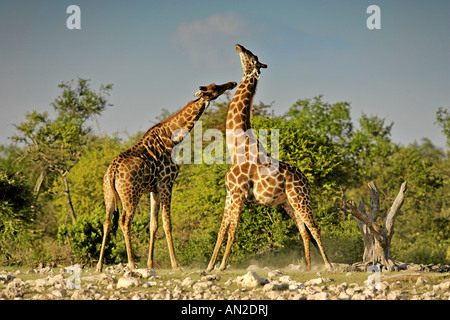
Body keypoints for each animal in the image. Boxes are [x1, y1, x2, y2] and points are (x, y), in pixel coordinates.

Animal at [96, 81, 237, 272]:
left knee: (107, 222)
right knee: (125, 222)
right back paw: (131, 263)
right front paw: (176, 265)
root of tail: (112, 172)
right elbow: (167, 223)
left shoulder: (154, 189)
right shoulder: (167, 183)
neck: (173, 137)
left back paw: (99, 266)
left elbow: (153, 224)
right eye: (215, 88)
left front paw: (150, 264)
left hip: (109, 195)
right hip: (130, 195)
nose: (232, 84)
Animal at [207, 43, 330, 272]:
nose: (238, 45)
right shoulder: (230, 193)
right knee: (303, 230)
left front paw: (222, 266)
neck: (236, 149)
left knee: (314, 227)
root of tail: (307, 182)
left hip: (300, 198)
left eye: (252, 55)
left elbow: (233, 230)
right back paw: (308, 267)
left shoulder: (238, 194)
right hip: (288, 202)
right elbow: (222, 229)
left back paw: (328, 265)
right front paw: (210, 266)